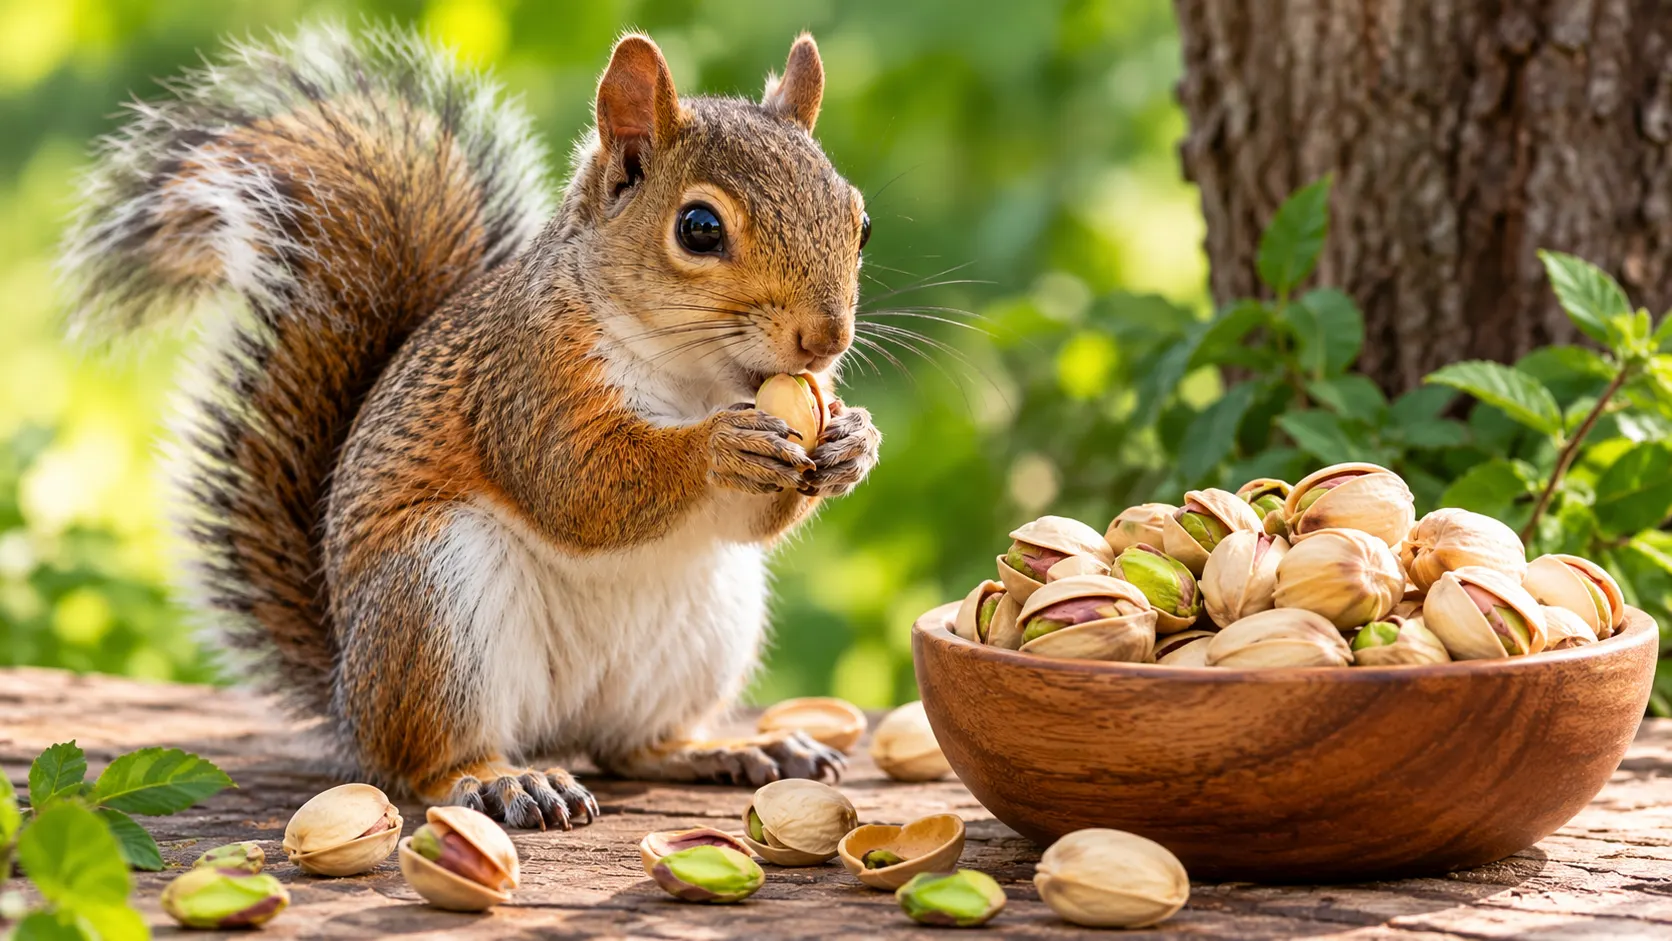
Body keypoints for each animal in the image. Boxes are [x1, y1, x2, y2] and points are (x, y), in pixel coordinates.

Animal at [59, 24, 881, 830]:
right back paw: (506, 779)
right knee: (426, 761)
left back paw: (730, 748)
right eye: (700, 228)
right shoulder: (524, 380)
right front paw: (719, 446)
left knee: (631, 745)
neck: (693, 376)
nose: (826, 340)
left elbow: (752, 517)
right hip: (434, 606)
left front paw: (855, 442)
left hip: (708, 626)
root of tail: (349, 699)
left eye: (861, 222)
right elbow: (577, 484)